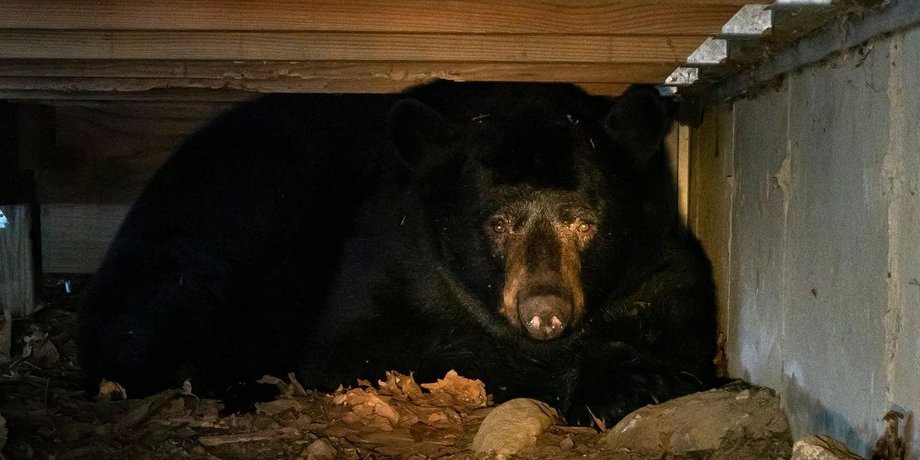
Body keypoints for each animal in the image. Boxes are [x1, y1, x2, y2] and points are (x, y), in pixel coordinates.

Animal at [77, 81, 717, 425]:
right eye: (498, 223)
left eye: (583, 221)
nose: (545, 311)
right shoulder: (391, 254)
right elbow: (368, 347)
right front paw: (622, 379)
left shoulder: (656, 256)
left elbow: (682, 312)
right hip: (239, 225)